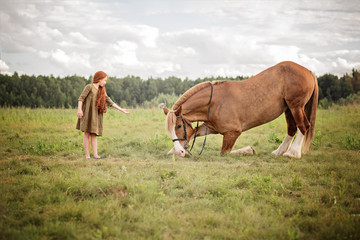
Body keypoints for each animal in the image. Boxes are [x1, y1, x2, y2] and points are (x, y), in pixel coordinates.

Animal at [163, 61, 318, 158]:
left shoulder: (232, 133)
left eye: (178, 126)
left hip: (296, 106)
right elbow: (194, 132)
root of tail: (309, 71)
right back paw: (279, 152)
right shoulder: (211, 127)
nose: (180, 153)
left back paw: (293, 153)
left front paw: (249, 150)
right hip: (288, 109)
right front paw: (174, 150)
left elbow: (225, 152)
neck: (214, 103)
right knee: (292, 129)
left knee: (303, 126)